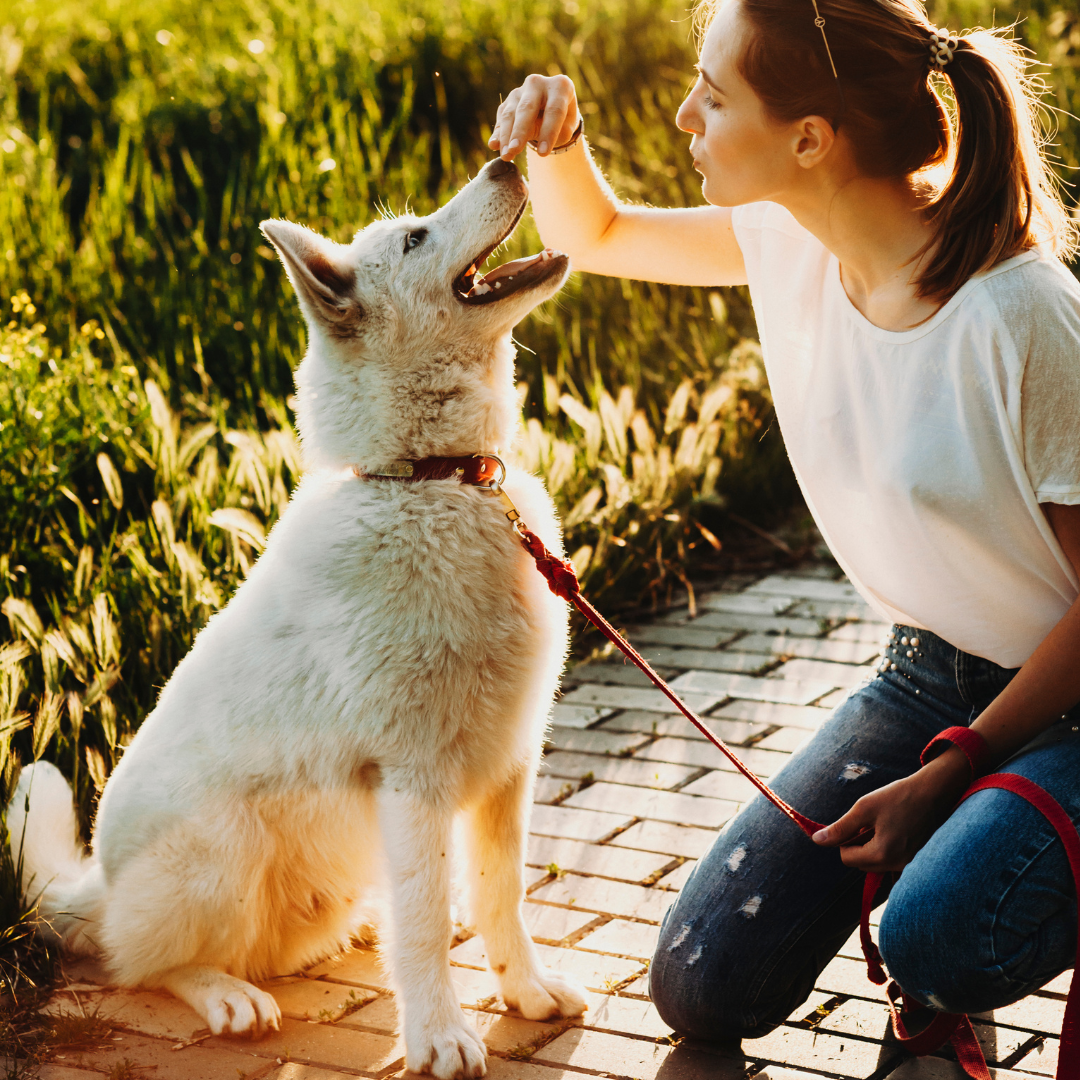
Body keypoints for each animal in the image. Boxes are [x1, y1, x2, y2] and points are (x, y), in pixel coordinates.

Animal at [8, 156, 587, 1075]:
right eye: (414, 237)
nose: (505, 160)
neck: (433, 480)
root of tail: (95, 886)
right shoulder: (413, 779)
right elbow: (426, 924)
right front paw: (439, 1035)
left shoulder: (510, 768)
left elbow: (503, 895)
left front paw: (525, 994)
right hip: (224, 851)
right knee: (140, 963)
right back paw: (225, 996)